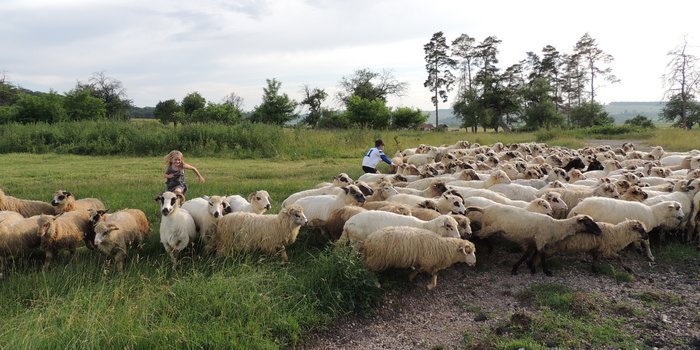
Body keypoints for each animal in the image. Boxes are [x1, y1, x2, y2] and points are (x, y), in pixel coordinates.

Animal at [464, 205, 600, 276]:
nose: (600, 232)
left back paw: (489, 248)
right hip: (490, 228)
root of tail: (485, 209)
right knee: (476, 235)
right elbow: (542, 256)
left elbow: (527, 255)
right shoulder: (540, 240)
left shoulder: (533, 241)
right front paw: (546, 271)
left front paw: (523, 267)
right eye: (588, 222)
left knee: (481, 236)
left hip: (488, 228)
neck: (556, 227)